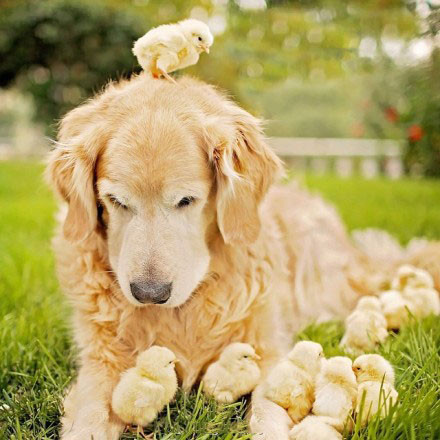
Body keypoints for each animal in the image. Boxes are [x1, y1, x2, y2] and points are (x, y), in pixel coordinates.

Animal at [46, 74, 438, 438]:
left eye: (186, 200)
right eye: (116, 201)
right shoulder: (99, 363)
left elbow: (269, 410)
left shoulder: (269, 351)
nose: (149, 294)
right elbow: (90, 418)